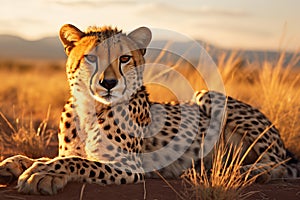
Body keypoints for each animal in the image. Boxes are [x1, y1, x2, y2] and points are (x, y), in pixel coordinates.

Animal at [0, 23, 298, 195]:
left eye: (124, 58)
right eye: (91, 58)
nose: (108, 83)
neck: (89, 109)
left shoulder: (129, 167)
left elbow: (78, 162)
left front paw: (42, 172)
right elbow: (53, 156)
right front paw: (16, 162)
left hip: (207, 95)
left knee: (279, 164)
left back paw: (251, 171)